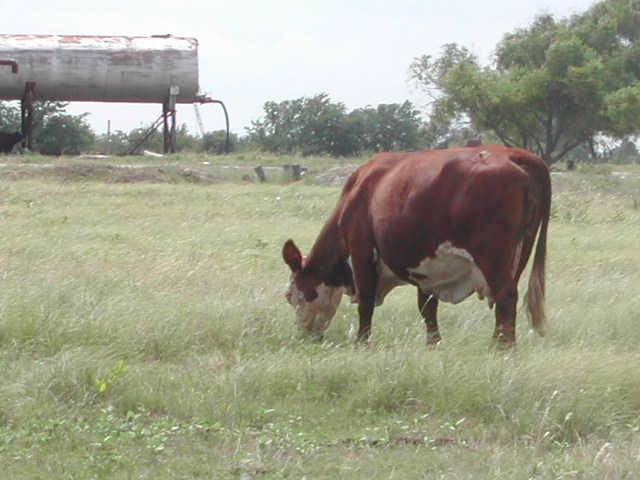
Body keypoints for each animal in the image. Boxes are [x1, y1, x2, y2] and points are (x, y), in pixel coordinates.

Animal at [282, 144, 552, 346]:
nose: (303, 337)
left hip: (492, 254)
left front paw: (362, 342)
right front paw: (433, 344)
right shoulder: (429, 268)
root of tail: (514, 153)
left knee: (505, 295)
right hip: (519, 253)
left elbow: (366, 302)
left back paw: (502, 348)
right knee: (505, 302)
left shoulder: (362, 250)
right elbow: (427, 307)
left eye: (290, 296)